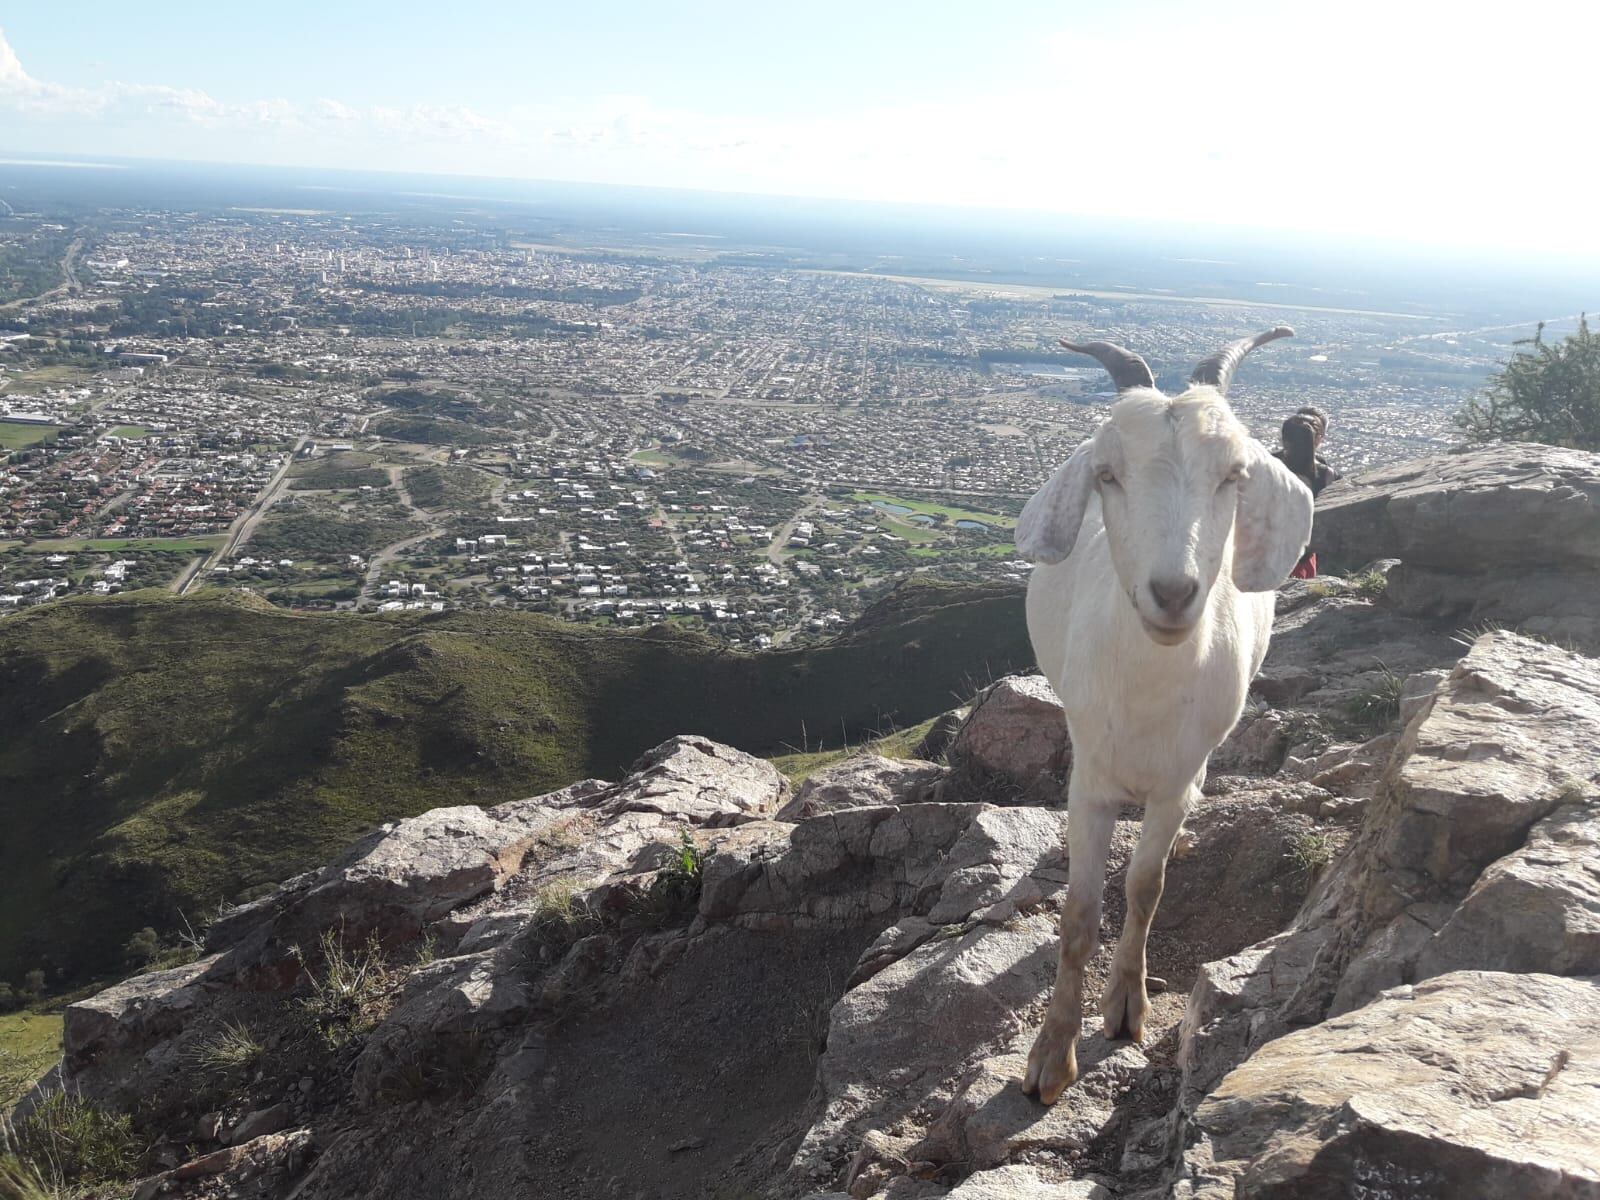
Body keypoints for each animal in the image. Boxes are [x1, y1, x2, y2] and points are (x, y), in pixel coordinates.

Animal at [1011, 331, 1312, 1107]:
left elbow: (1146, 889)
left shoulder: (1176, 781)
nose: (1174, 593)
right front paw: (1051, 1059)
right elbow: (1078, 916)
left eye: (1234, 474)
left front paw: (1125, 1007)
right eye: (1107, 474)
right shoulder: (1089, 780)